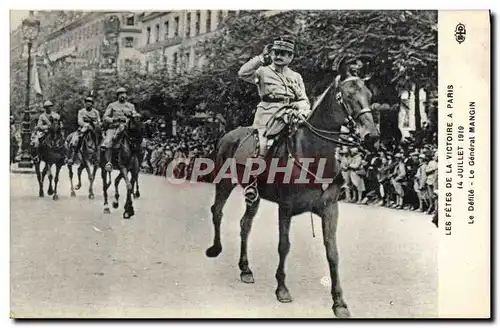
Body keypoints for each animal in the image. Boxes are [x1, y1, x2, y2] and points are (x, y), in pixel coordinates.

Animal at [205, 75, 380, 318]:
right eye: (347, 96)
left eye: (369, 95)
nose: (372, 135)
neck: (313, 155)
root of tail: (228, 135)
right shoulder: (285, 208)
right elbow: (284, 245)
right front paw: (282, 289)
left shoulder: (330, 209)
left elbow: (332, 252)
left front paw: (339, 303)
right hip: (224, 182)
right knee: (217, 211)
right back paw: (215, 248)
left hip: (254, 195)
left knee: (245, 224)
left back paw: (246, 269)